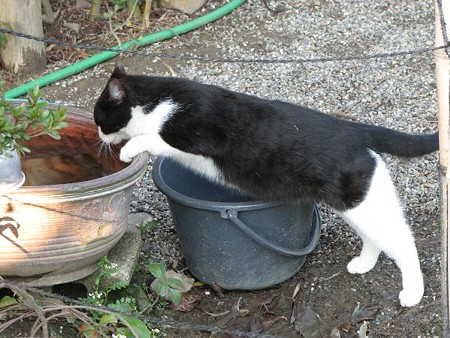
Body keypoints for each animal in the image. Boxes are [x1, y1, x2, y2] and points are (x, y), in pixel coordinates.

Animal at [94, 62, 440, 308]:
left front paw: (128, 148)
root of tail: (357, 130)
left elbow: (154, 138)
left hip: (363, 202)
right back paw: (364, 264)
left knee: (403, 241)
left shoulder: (201, 137)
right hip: (356, 204)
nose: (98, 136)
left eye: (100, 118)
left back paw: (413, 292)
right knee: (375, 237)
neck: (155, 102)